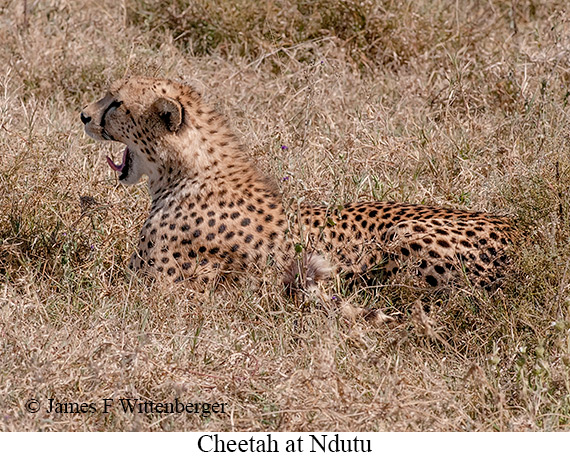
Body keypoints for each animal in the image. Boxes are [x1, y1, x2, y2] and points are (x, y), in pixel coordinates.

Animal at [81, 75, 516, 296]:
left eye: (116, 103)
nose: (83, 115)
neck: (189, 169)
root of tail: (519, 232)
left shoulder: (158, 291)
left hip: (404, 239)